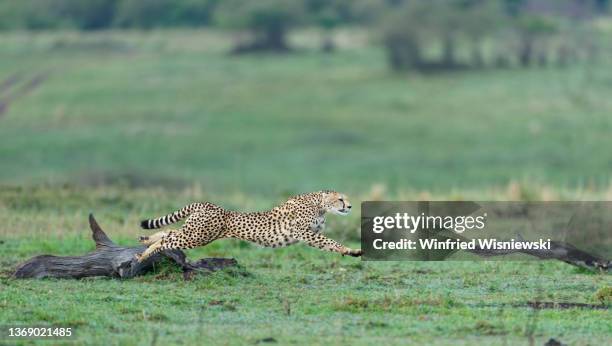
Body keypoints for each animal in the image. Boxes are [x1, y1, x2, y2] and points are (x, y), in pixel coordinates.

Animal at [135, 191, 364, 260]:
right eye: (341, 199)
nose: (350, 206)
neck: (319, 204)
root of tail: (208, 204)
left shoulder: (311, 232)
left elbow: (327, 241)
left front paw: (350, 251)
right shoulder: (304, 232)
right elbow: (330, 241)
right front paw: (350, 250)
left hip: (196, 232)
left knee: (169, 231)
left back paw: (145, 241)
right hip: (197, 236)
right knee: (168, 239)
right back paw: (145, 254)